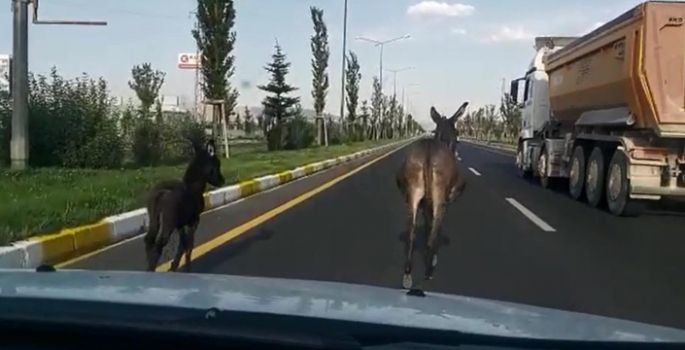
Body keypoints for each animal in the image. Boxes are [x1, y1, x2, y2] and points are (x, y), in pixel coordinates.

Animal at [144, 139, 224, 270]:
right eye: (217, 165)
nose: (222, 181)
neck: (196, 185)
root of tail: (161, 193)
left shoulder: (181, 223)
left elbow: (183, 243)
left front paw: (174, 265)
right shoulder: (194, 220)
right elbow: (189, 244)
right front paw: (185, 266)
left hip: (154, 218)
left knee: (149, 240)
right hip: (168, 221)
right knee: (159, 242)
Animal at [396, 102, 470, 296]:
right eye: (456, 132)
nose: (457, 143)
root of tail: (428, 152)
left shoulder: (424, 203)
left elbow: (427, 225)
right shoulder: (445, 201)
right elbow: (435, 228)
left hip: (413, 195)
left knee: (411, 231)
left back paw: (408, 275)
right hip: (438, 198)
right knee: (434, 232)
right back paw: (429, 270)